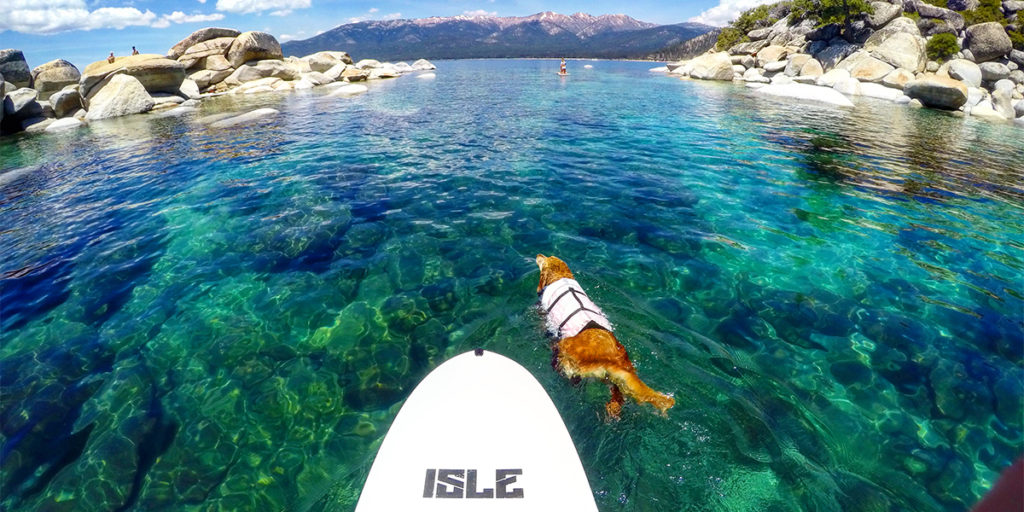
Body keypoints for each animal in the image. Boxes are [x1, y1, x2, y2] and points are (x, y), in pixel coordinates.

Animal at [536, 253, 671, 417]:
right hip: (611, 375)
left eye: (545, 259)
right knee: (618, 392)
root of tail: (615, 356)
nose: (538, 254)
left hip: (569, 352)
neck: (561, 277)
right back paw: (613, 408)